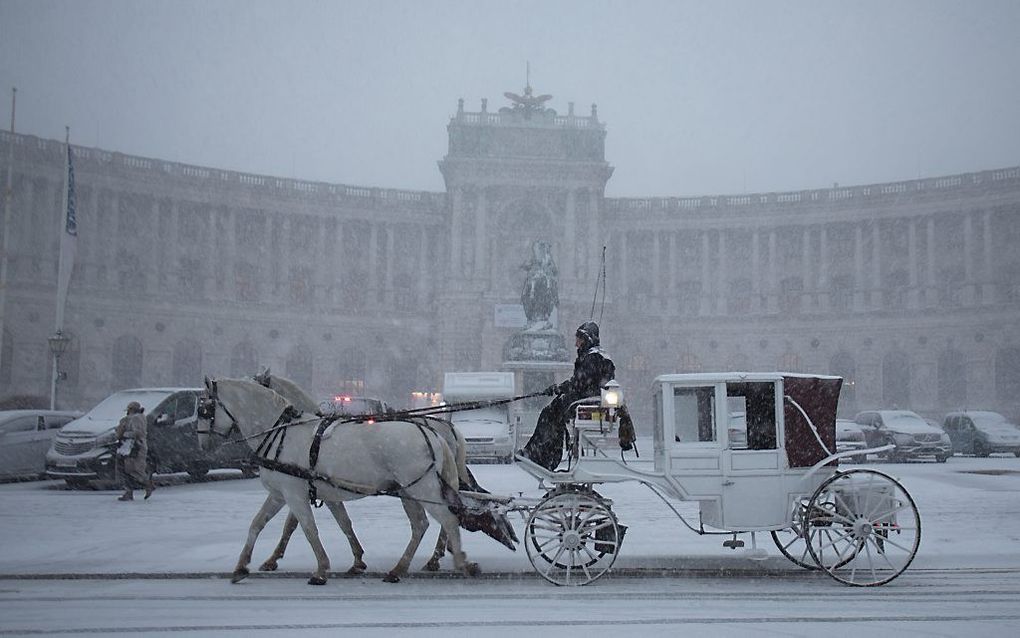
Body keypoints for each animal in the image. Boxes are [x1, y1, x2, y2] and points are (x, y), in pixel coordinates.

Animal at [204, 375, 485, 583]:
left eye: (204, 408)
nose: (203, 441)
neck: (282, 433)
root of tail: (434, 432)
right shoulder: (292, 493)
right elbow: (261, 524)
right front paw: (243, 566)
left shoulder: (294, 493)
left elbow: (305, 528)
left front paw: (319, 569)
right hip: (411, 489)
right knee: (423, 524)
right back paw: (404, 568)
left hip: (422, 487)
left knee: (445, 520)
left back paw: (455, 562)